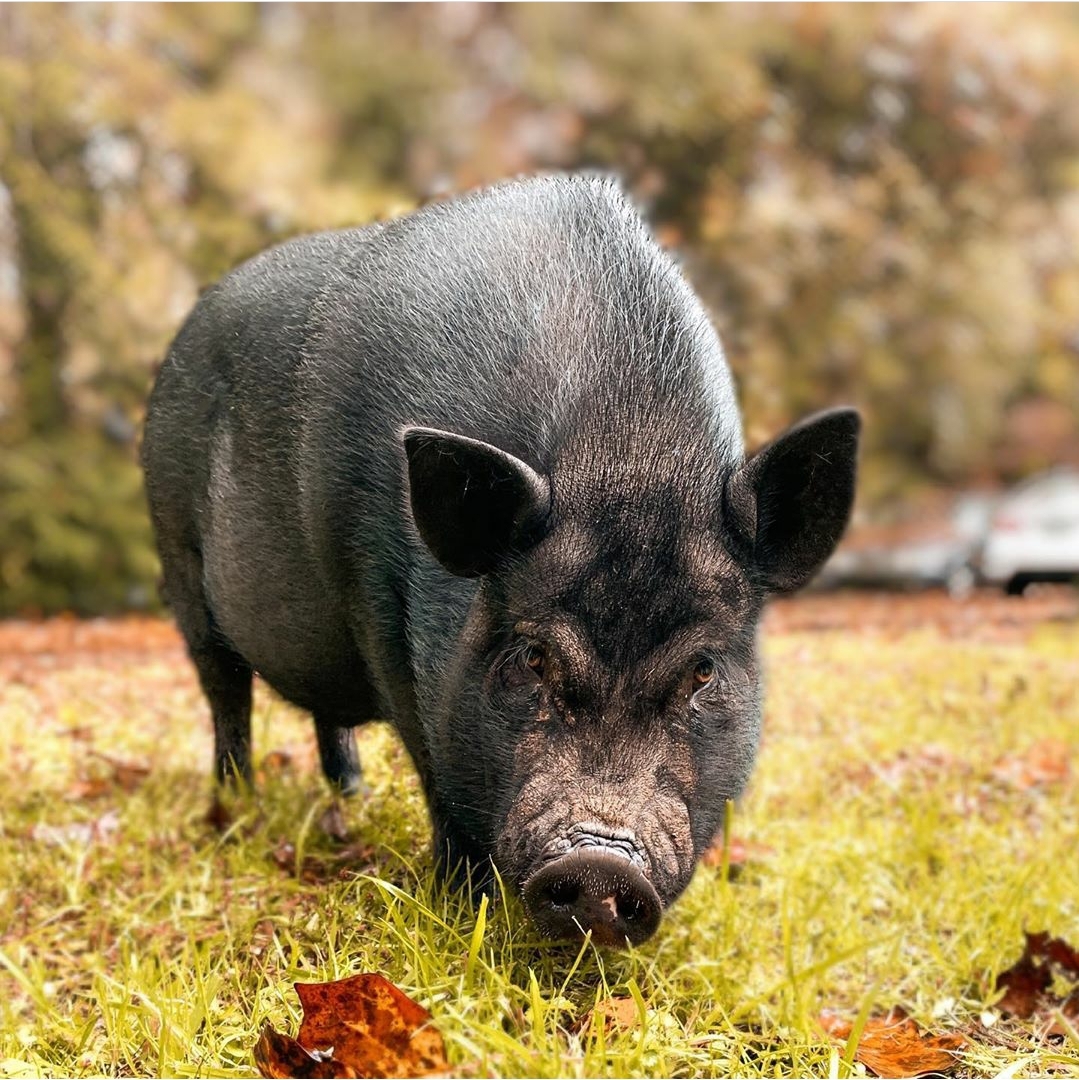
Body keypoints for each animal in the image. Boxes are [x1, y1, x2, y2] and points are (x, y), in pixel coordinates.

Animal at [142, 173, 859, 947]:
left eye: (702, 670)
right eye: (533, 656)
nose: (602, 865)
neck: (626, 449)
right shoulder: (371, 598)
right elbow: (430, 757)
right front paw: (462, 907)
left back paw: (351, 793)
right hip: (176, 555)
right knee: (225, 692)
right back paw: (236, 808)